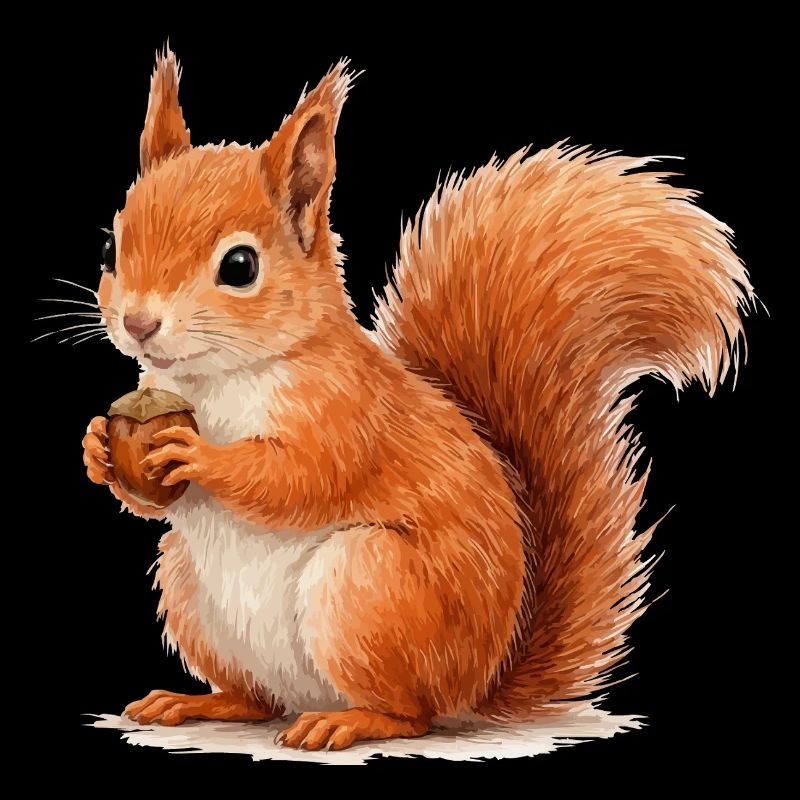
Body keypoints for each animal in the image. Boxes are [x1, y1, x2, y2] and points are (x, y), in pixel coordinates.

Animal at [81, 49, 753, 751]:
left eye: (240, 266)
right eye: (109, 247)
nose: (138, 323)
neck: (215, 379)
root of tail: (477, 685)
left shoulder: (347, 411)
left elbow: (300, 478)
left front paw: (200, 455)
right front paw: (97, 448)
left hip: (370, 587)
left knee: (411, 714)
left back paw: (348, 721)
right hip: (189, 587)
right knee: (257, 699)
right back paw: (198, 702)